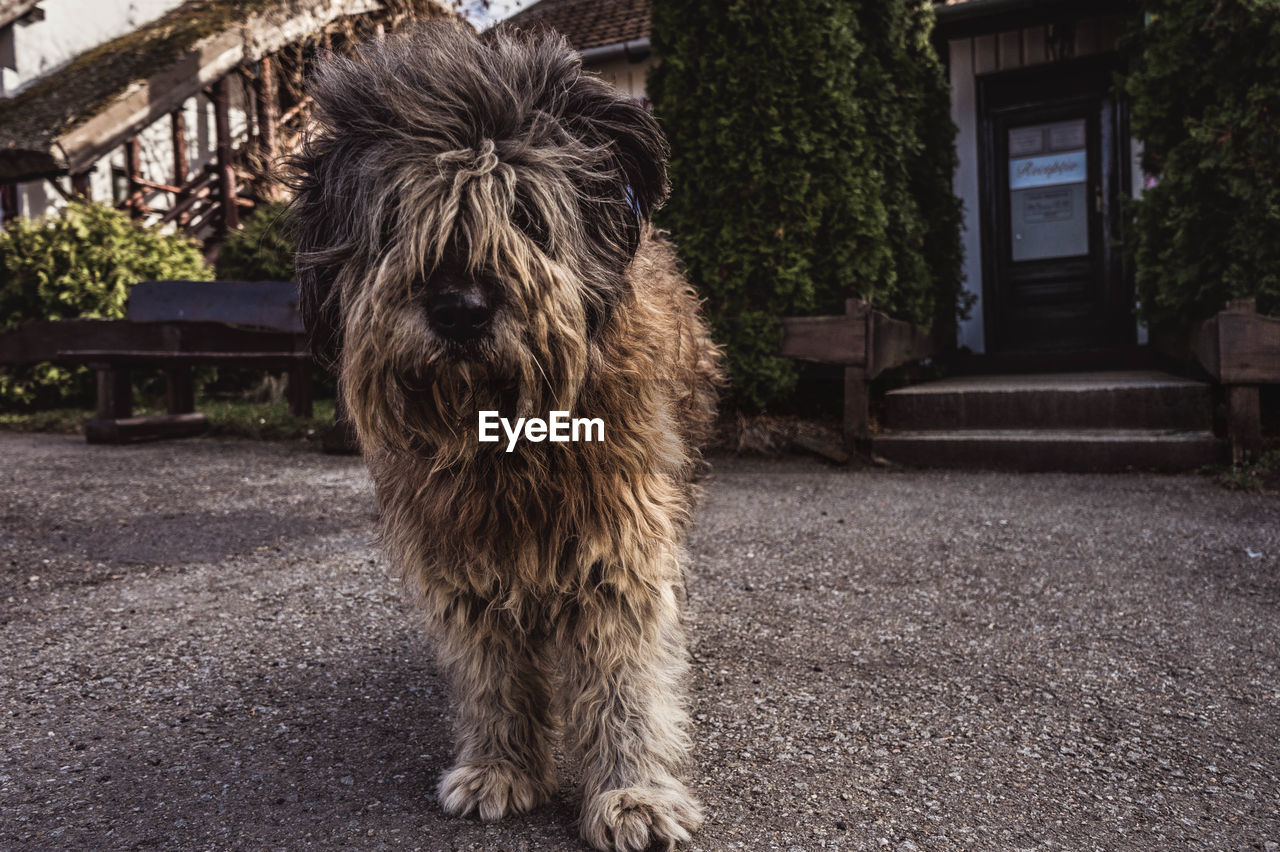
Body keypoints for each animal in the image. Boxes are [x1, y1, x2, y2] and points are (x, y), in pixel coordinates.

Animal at [293, 19, 727, 849]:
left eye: (523, 210)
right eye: (396, 218)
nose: (459, 308)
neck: (506, 435)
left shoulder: (620, 543)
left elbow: (625, 677)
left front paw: (632, 794)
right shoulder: (459, 555)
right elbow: (491, 670)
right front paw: (499, 767)